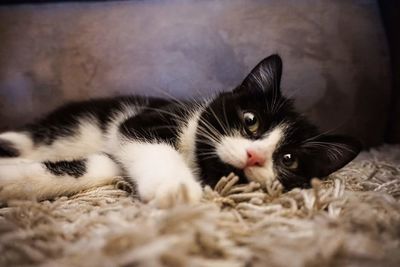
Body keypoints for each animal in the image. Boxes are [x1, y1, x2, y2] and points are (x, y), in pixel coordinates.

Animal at [0, 55, 362, 208]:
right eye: (251, 121)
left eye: (288, 159)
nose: (254, 156)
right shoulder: (146, 119)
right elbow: (147, 141)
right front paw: (175, 187)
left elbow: (96, 166)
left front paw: (13, 179)